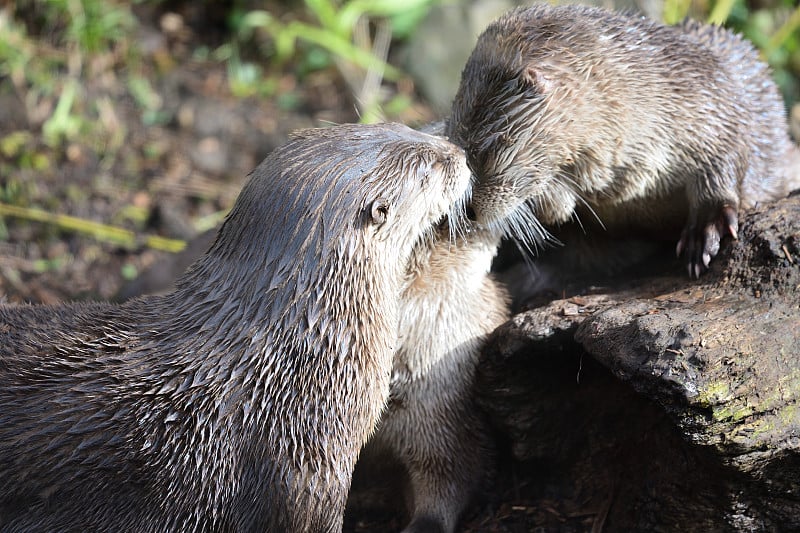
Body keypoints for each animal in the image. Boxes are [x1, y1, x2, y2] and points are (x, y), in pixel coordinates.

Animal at [446, 4, 800, 276]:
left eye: (487, 148)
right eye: (454, 141)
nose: (468, 212)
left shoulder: (713, 103)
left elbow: (727, 154)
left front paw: (705, 227)